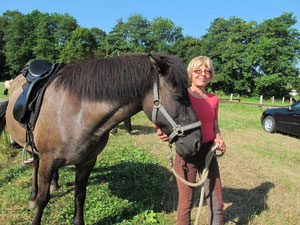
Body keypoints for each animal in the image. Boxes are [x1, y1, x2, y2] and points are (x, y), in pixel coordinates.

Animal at [0, 53, 202, 225]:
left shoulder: (87, 162)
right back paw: (32, 195)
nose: (197, 142)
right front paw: (37, 200)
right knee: (34, 166)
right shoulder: (48, 161)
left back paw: (54, 184)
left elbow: (80, 195)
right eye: (178, 96)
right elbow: (43, 200)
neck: (75, 113)